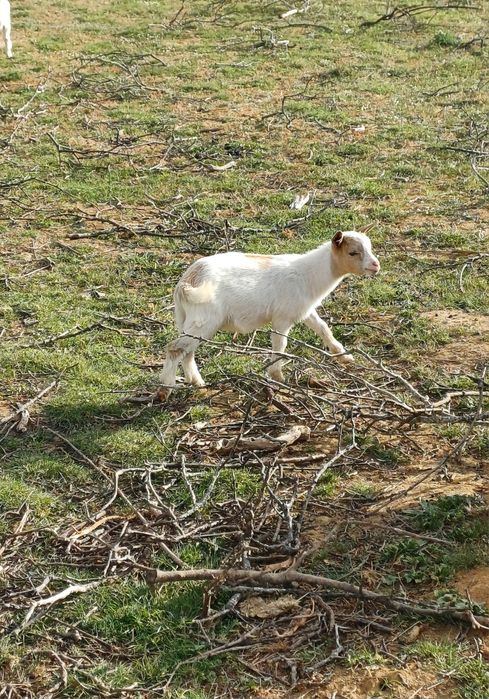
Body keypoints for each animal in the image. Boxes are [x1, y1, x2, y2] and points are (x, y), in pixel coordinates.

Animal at [158, 230, 380, 399]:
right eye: (353, 252)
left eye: (369, 248)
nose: (375, 265)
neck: (309, 275)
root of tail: (187, 282)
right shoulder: (282, 318)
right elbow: (280, 344)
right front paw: (278, 376)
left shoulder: (305, 310)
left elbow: (323, 328)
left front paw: (343, 355)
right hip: (203, 319)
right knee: (175, 349)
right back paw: (165, 390)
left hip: (190, 321)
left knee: (188, 352)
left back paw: (197, 383)